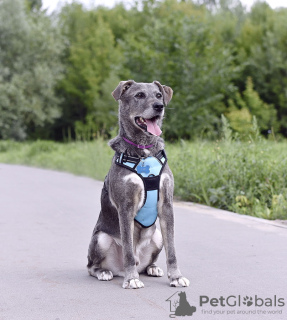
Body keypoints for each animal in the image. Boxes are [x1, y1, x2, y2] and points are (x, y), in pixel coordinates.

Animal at [88, 79, 191, 288]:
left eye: (159, 95)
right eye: (139, 95)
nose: (159, 106)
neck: (144, 152)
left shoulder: (166, 205)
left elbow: (172, 249)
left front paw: (176, 276)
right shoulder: (125, 207)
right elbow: (128, 248)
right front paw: (131, 279)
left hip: (157, 236)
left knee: (147, 262)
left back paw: (152, 268)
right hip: (100, 238)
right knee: (92, 266)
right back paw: (106, 272)